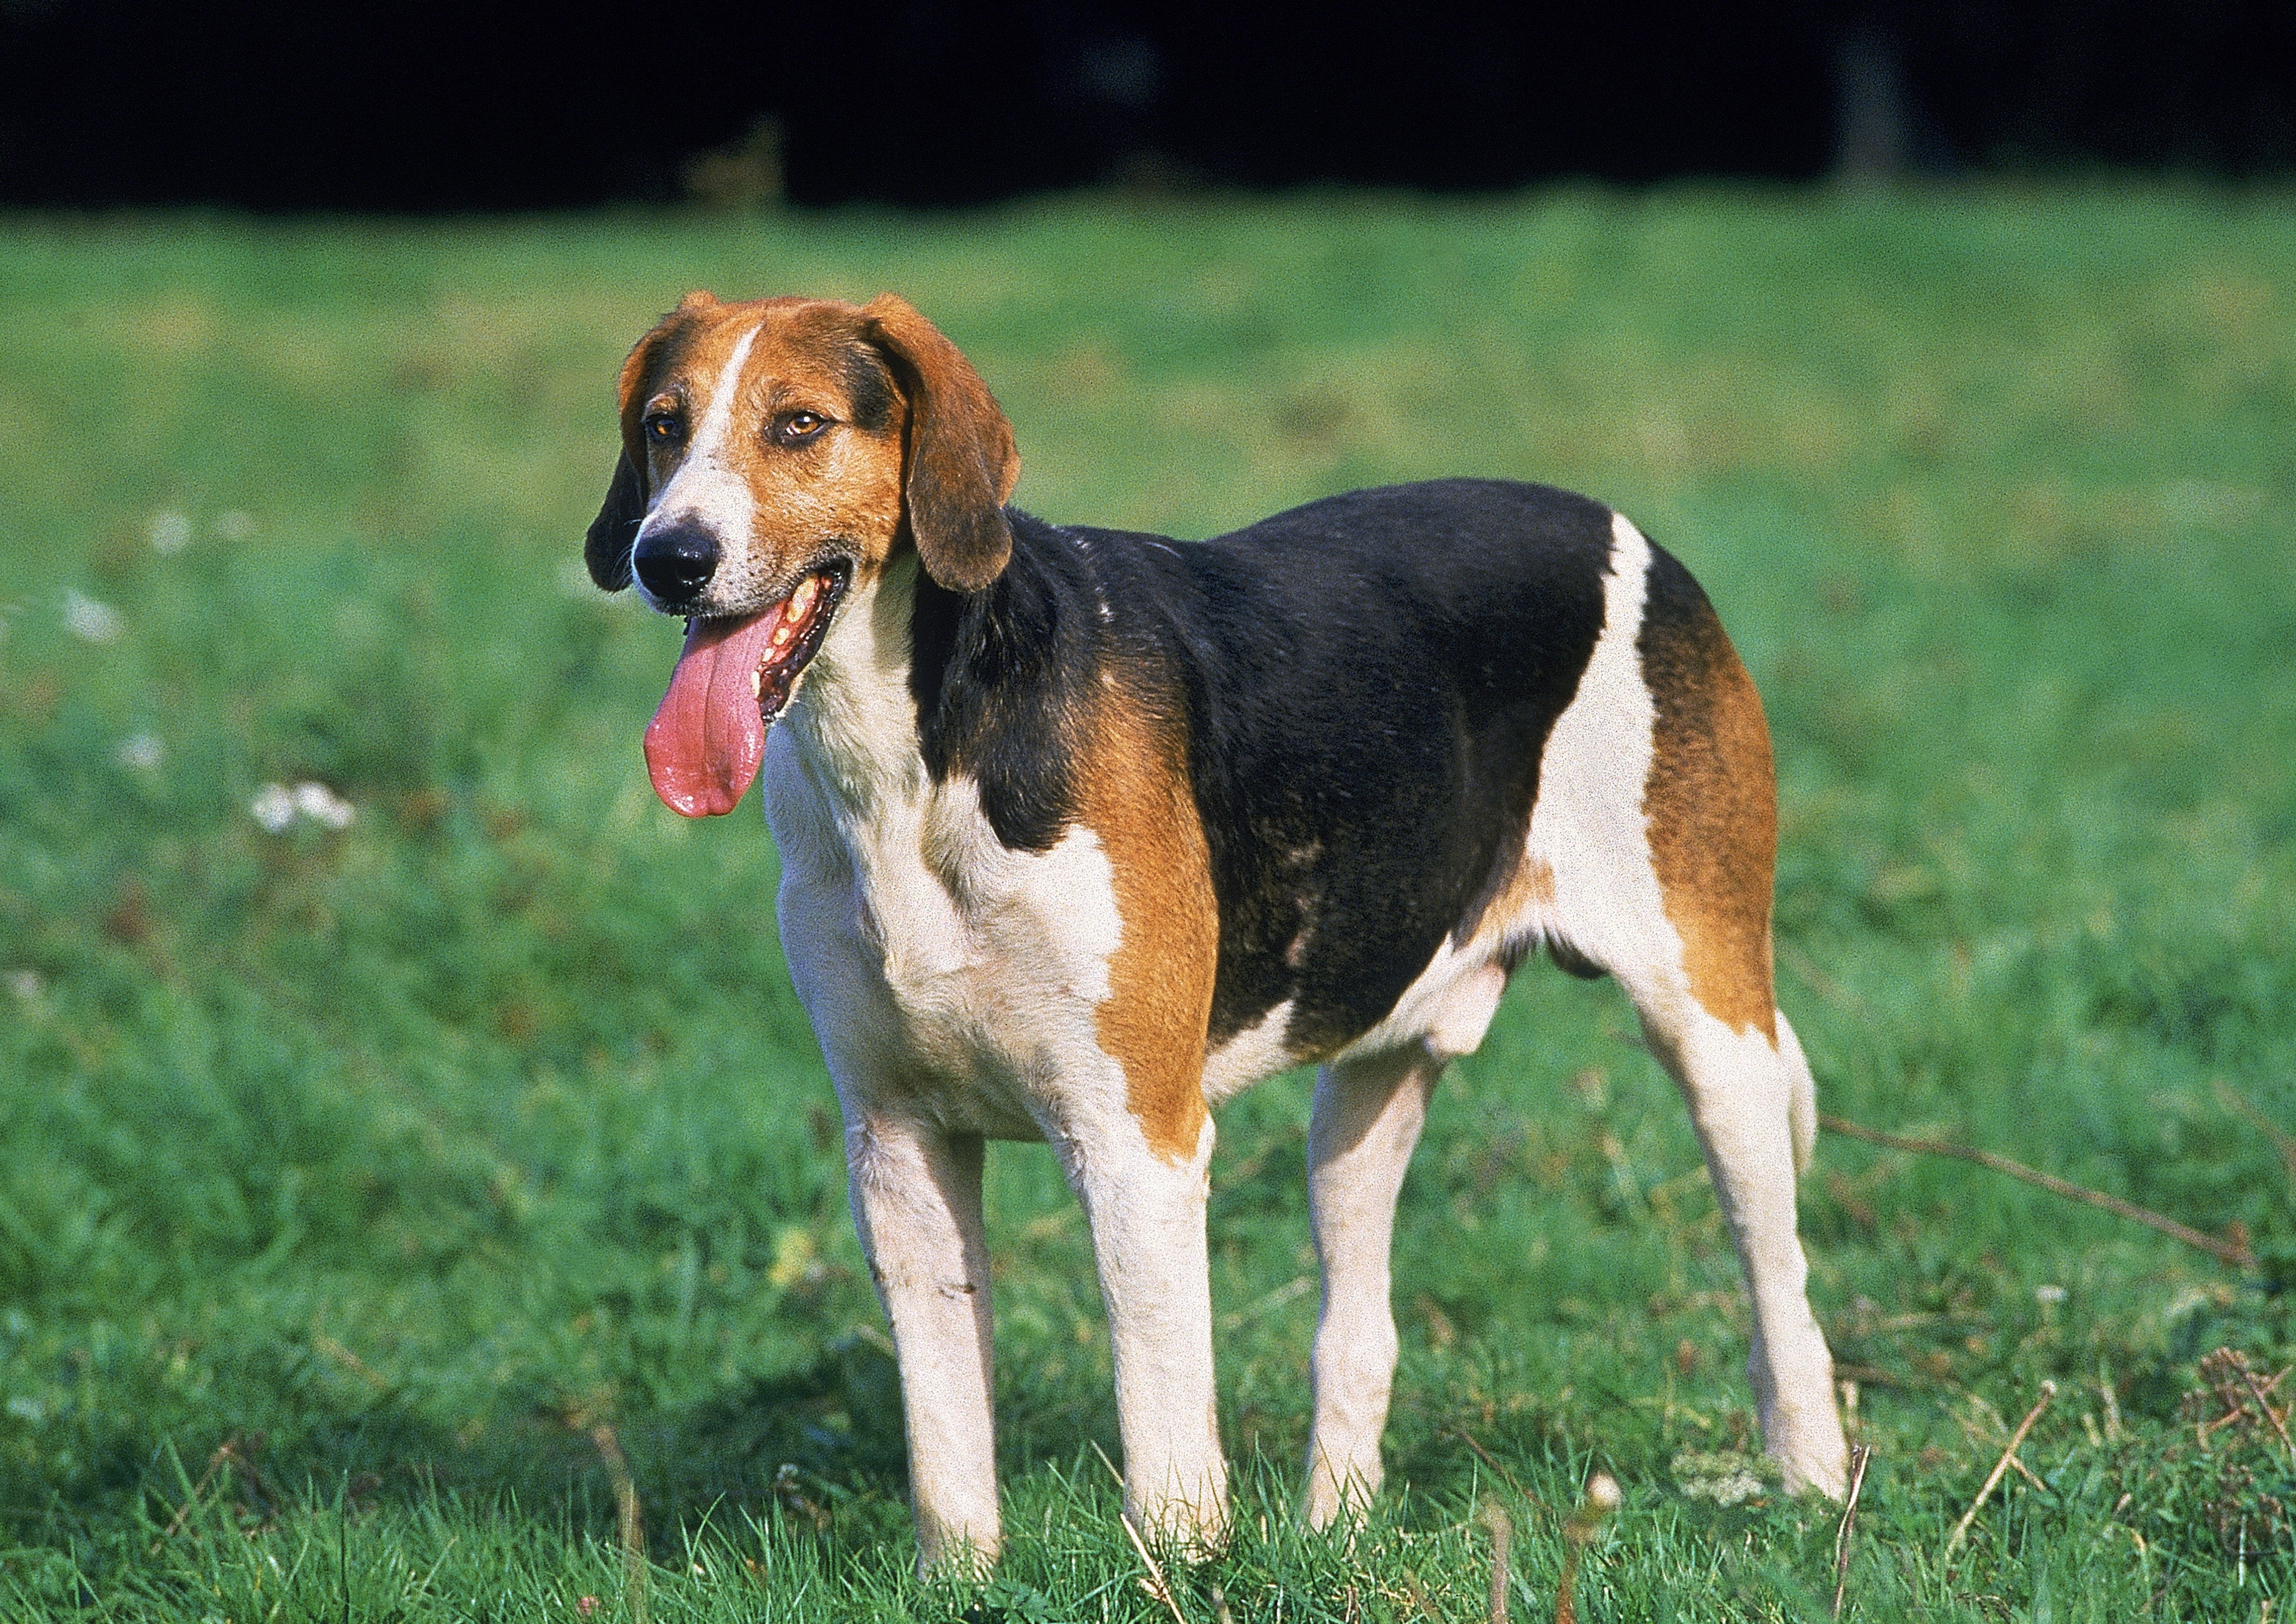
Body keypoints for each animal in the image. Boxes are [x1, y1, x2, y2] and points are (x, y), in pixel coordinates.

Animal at [583, 289, 1855, 1562]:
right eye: (662, 425)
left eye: (798, 425)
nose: (668, 558)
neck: (910, 762)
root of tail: (1629, 531)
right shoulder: (896, 1148)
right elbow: (945, 1437)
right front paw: (963, 1581)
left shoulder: (1135, 1141)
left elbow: (1160, 1417)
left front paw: (1181, 1569)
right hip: (1362, 1092)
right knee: (1358, 1330)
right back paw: (1334, 1532)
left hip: (1713, 1034)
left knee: (1779, 1282)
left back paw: (1810, 1485)